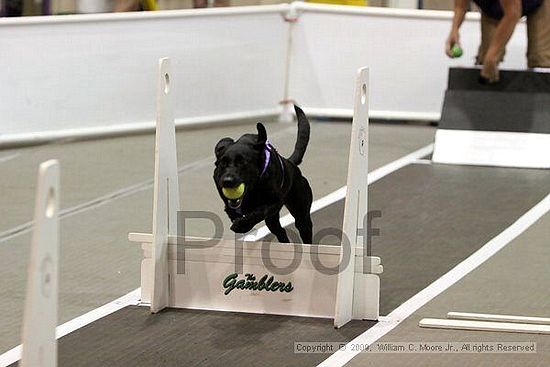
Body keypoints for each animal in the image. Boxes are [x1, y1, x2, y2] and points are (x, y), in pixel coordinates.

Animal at [213, 105, 312, 244]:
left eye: (243, 162)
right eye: (223, 163)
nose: (227, 181)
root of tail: (291, 164)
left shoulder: (275, 202)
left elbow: (260, 211)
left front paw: (242, 225)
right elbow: (230, 207)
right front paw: (235, 215)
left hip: (301, 214)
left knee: (303, 229)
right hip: (274, 221)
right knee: (280, 231)